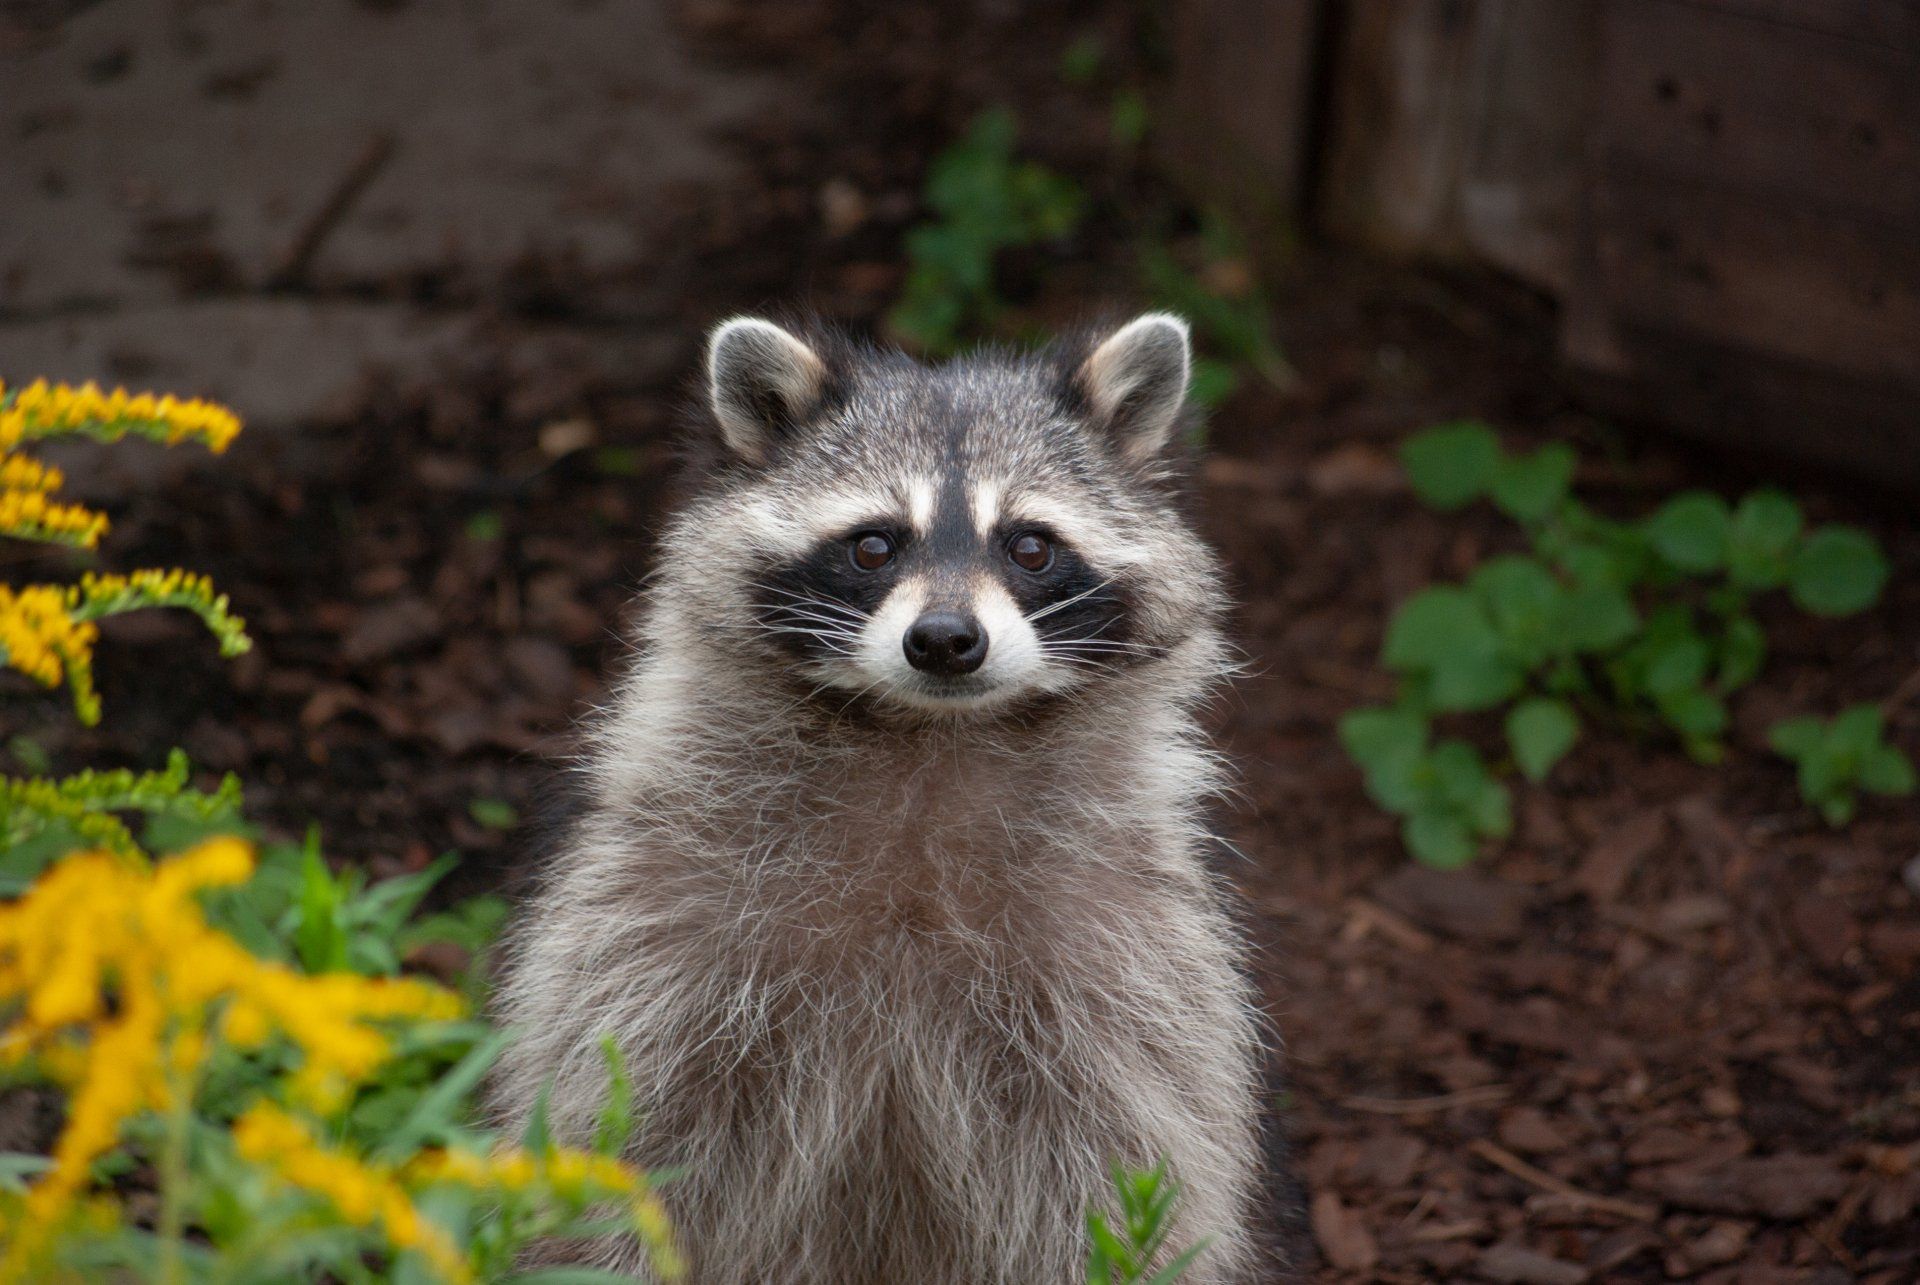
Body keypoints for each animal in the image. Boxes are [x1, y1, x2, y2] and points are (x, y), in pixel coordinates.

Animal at [492, 313, 1269, 1283]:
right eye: (873, 544)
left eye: (1030, 546)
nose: (944, 640)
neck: (928, 736)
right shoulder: (659, 919)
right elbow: (624, 1129)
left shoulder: (1124, 951)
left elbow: (1124, 1160)